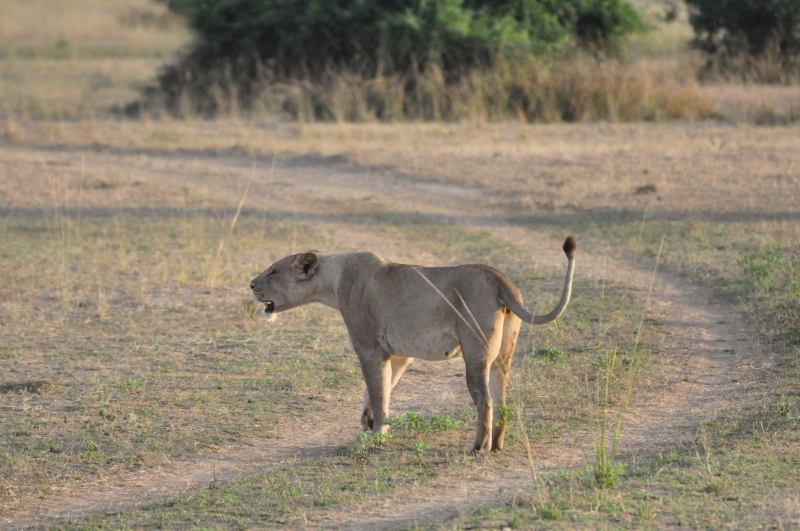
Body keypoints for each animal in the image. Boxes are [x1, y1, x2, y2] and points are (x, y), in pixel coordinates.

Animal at [250, 236, 576, 453]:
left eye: (273, 271)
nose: (251, 285)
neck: (333, 280)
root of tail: (500, 279)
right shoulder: (397, 354)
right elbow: (378, 391)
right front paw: (369, 426)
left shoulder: (369, 347)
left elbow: (378, 392)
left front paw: (377, 434)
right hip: (502, 358)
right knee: (503, 400)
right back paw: (496, 445)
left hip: (475, 354)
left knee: (485, 400)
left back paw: (476, 447)